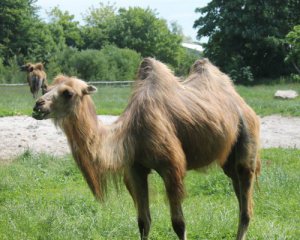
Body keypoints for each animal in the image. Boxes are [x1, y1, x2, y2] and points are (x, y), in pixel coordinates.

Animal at [32, 58, 260, 240]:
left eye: (68, 93)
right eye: (46, 88)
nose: (38, 106)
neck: (132, 134)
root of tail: (243, 104)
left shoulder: (171, 168)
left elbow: (179, 224)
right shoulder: (135, 170)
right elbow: (143, 221)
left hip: (247, 140)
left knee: (246, 208)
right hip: (228, 160)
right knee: (240, 195)